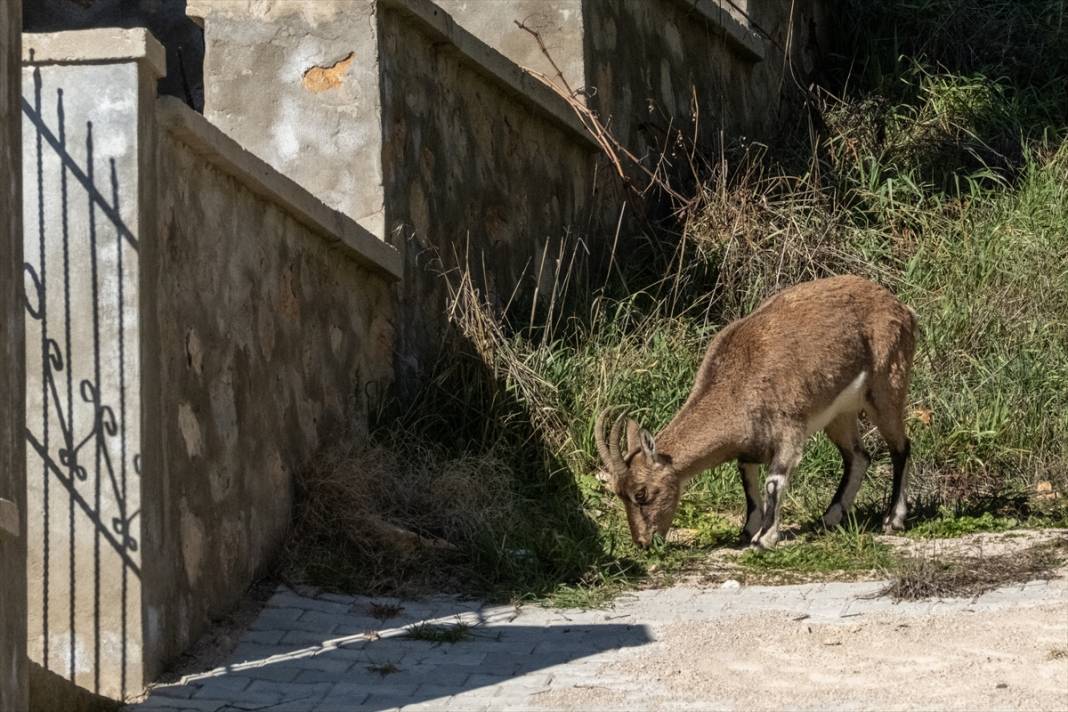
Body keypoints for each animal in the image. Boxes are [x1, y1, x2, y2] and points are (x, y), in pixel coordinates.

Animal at [593, 275, 918, 550]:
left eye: (642, 494)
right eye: (619, 493)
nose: (643, 542)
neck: (737, 387)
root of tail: (901, 308)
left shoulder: (789, 429)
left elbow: (774, 481)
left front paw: (764, 538)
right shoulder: (749, 446)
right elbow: (747, 480)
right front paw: (748, 529)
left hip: (887, 385)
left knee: (901, 447)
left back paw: (893, 519)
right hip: (839, 414)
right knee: (858, 457)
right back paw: (829, 518)